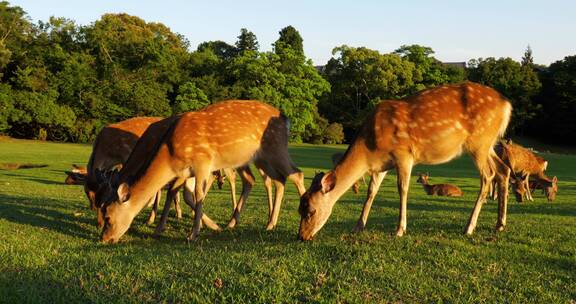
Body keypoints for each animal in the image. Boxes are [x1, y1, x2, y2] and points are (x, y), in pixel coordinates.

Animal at [99, 101, 308, 243]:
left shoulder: (203, 163)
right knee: (276, 179)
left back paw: (304, 223)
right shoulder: (184, 173)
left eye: (108, 216)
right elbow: (174, 192)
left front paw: (193, 233)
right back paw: (265, 224)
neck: (170, 154)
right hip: (261, 158)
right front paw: (159, 229)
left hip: (275, 149)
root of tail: (286, 119)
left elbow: (198, 194)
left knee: (296, 174)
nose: (104, 238)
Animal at [296, 81, 512, 240]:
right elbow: (371, 191)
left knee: (488, 175)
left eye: (310, 211)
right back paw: (500, 224)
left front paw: (400, 229)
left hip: (479, 142)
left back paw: (469, 227)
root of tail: (506, 105)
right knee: (503, 170)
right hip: (489, 144)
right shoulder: (381, 165)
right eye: (299, 209)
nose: (301, 236)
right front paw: (358, 226)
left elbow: (403, 189)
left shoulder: (404, 154)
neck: (369, 148)